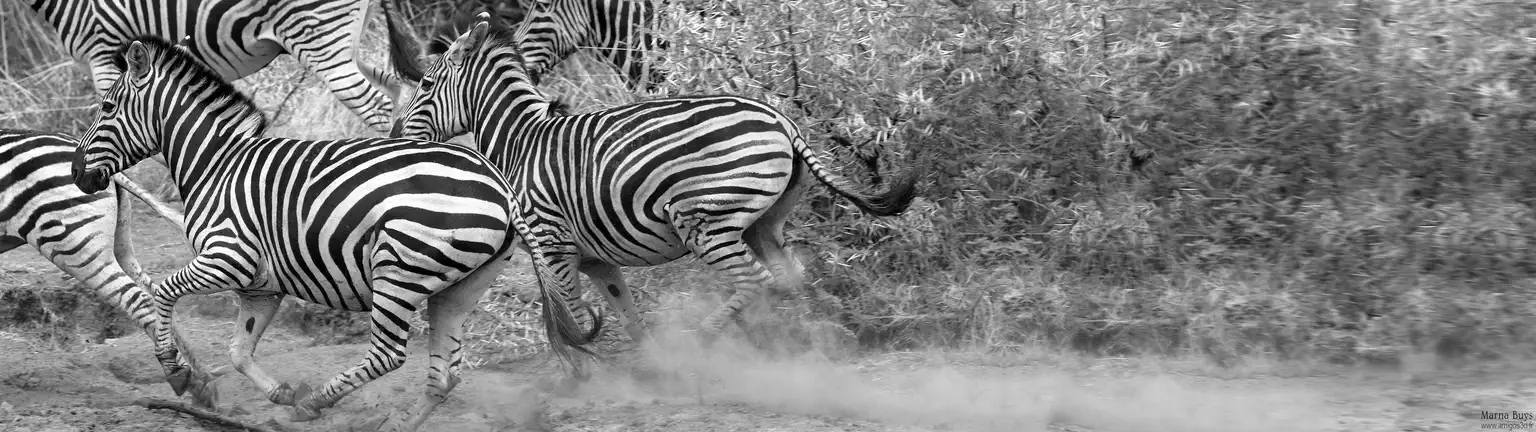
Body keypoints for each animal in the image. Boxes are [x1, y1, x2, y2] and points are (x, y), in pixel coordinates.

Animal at [1, 128, 220, 407]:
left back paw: (184, 378)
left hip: (75, 246)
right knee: (156, 294)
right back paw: (203, 381)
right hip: (119, 244)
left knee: (139, 300)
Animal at [70, 35, 591, 430]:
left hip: (397, 267)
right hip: (462, 287)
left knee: (388, 354)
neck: (217, 165)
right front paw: (278, 392)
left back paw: (317, 400)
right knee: (443, 376)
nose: (77, 174)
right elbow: (238, 351)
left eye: (107, 106)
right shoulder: (261, 285)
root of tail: (499, 187)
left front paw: (177, 373)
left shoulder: (228, 257)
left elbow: (163, 293)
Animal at [390, 16, 918, 374]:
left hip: (703, 218)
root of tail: (782, 120)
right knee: (789, 277)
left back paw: (704, 340)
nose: (397, 136)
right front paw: (645, 364)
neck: (521, 140)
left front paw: (581, 372)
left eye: (426, 83)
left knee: (754, 280)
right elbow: (625, 312)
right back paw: (806, 347)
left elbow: (568, 314)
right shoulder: (594, 258)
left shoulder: (551, 243)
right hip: (764, 222)